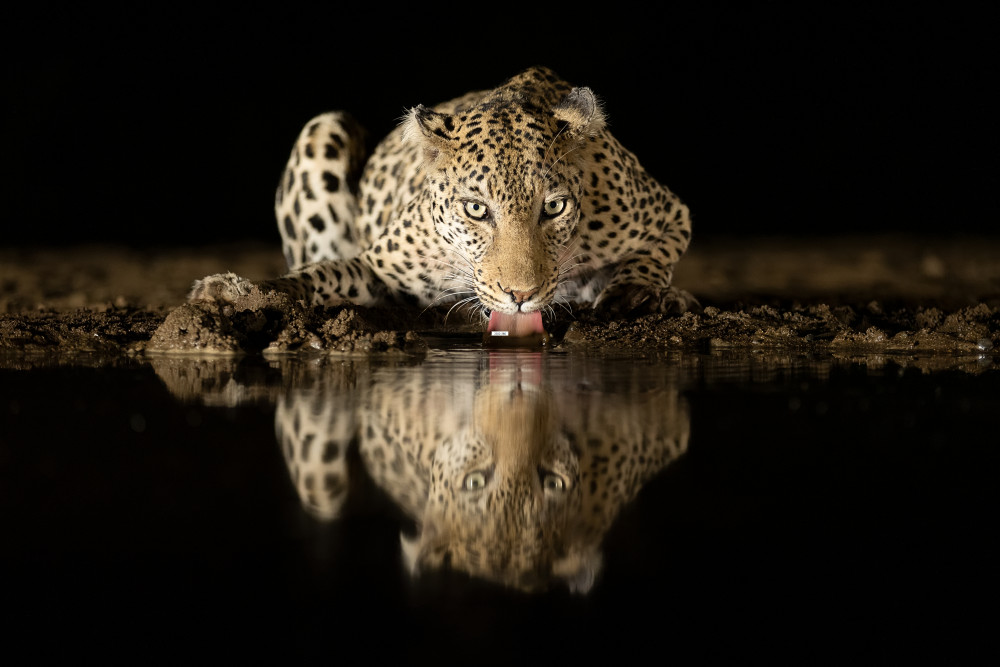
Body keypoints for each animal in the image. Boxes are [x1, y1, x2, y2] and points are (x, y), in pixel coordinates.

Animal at [188, 66, 696, 337]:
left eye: (554, 208)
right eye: (476, 209)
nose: (520, 296)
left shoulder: (668, 211)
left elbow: (658, 252)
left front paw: (635, 293)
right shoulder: (378, 269)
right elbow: (320, 275)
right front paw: (236, 294)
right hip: (323, 126)